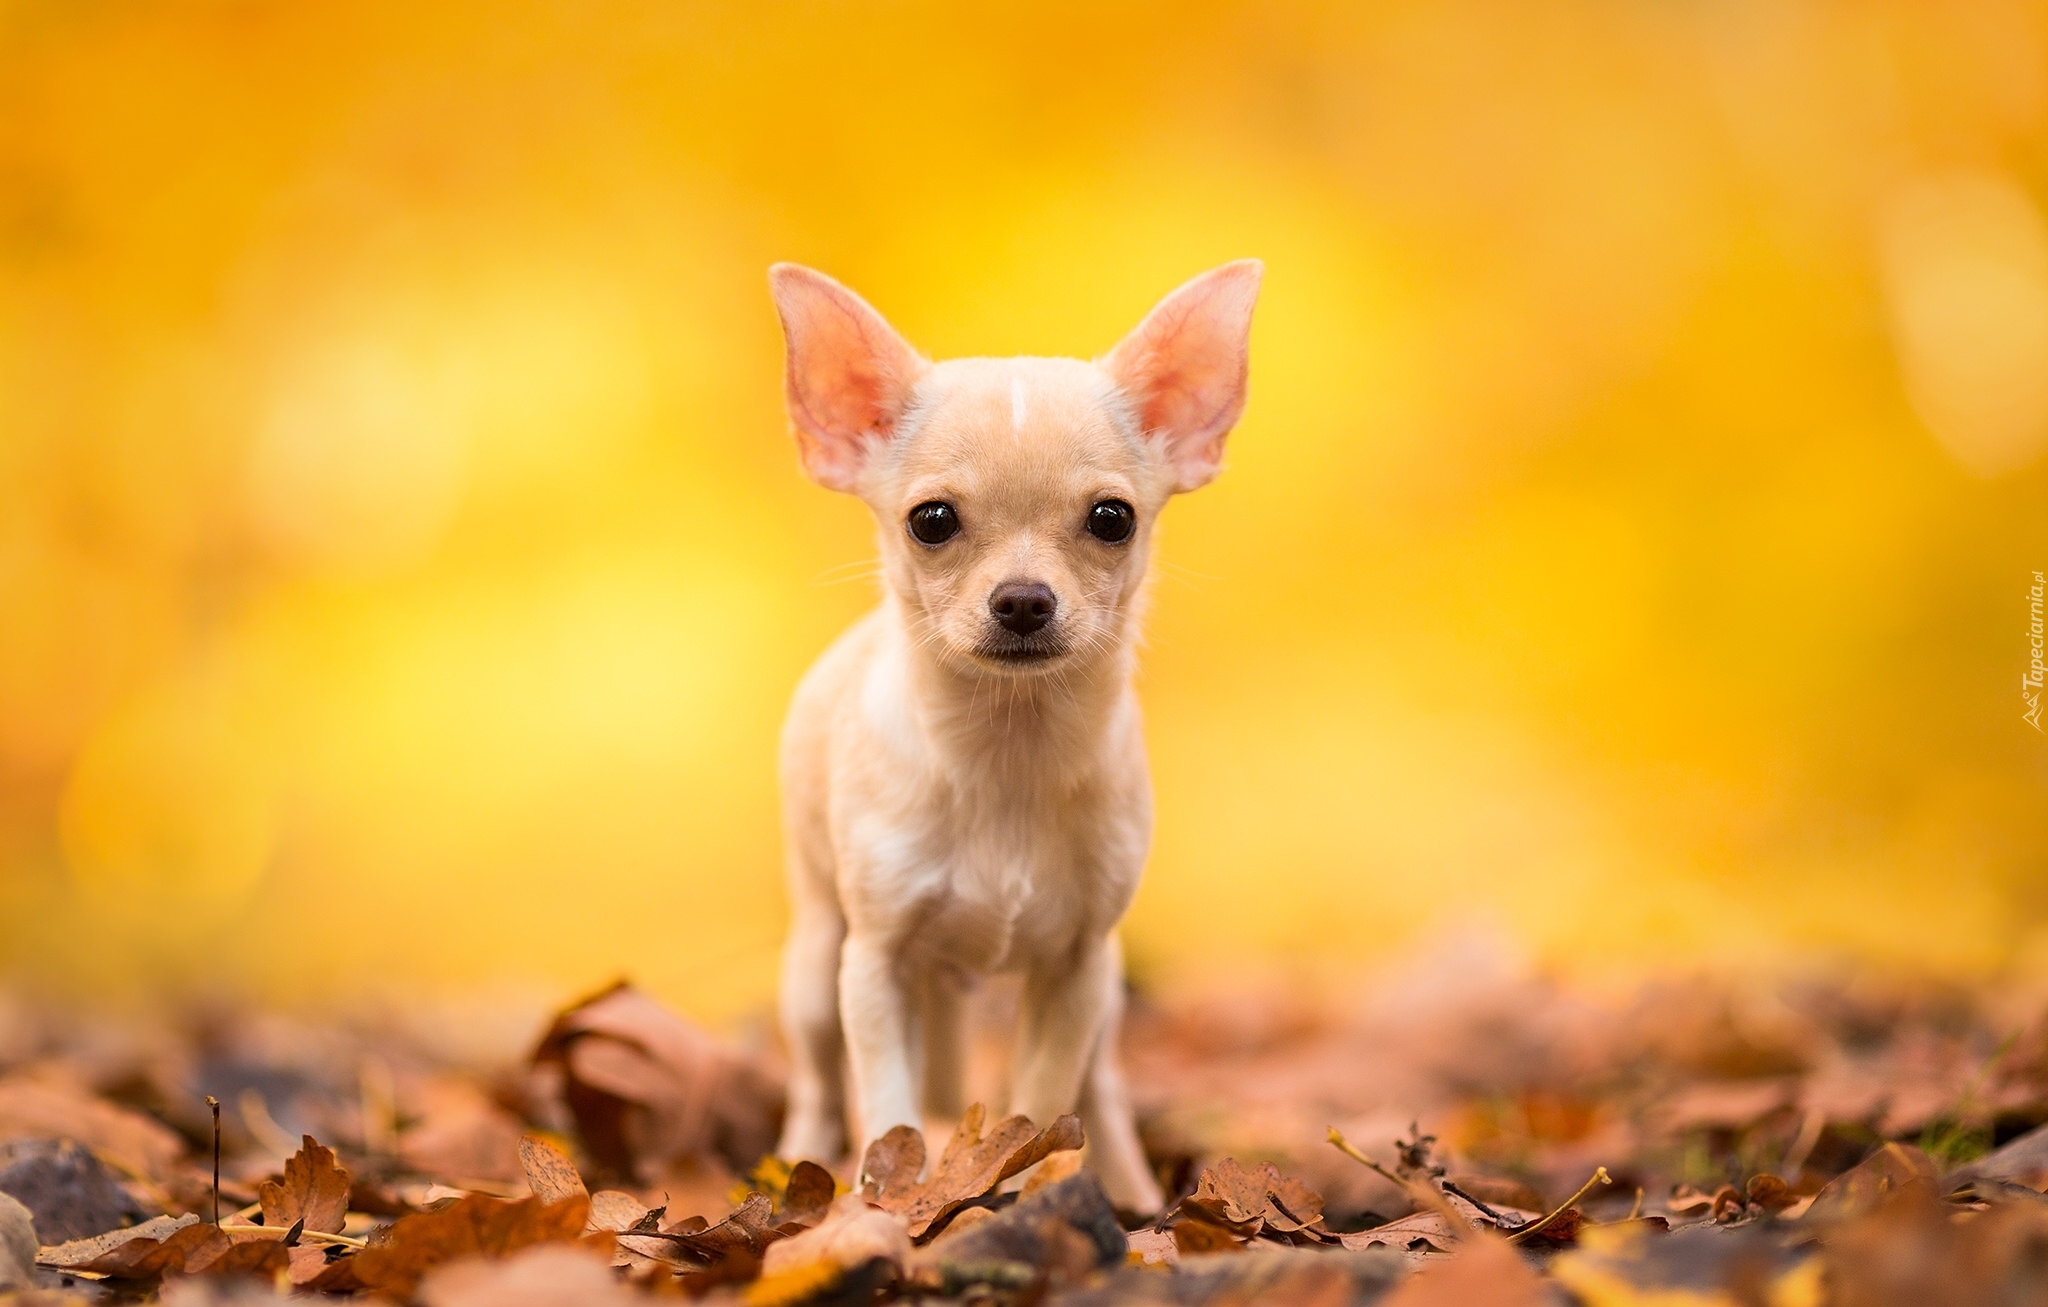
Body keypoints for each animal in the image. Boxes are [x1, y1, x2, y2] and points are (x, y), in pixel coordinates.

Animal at [765, 258, 1253, 1220]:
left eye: (1112, 518)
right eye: (931, 521)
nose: (1023, 599)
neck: (1007, 749)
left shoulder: (1075, 970)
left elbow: (1039, 1099)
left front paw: (1021, 1188)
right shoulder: (873, 966)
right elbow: (886, 1106)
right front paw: (886, 1200)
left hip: (1101, 999)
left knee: (1099, 1088)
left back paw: (1131, 1187)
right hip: (816, 962)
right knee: (816, 1079)